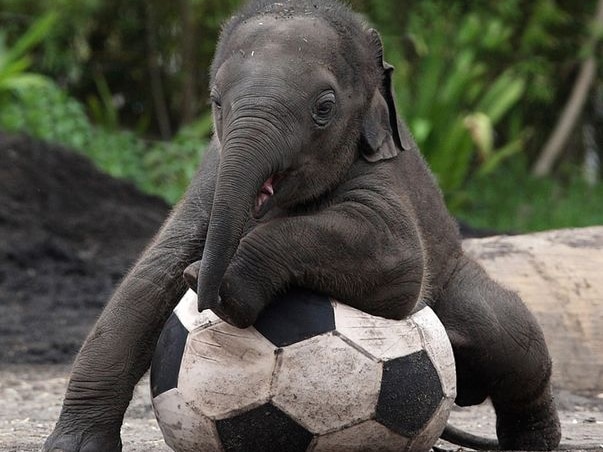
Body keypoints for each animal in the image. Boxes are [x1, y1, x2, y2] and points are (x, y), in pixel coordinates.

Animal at [42, 0, 560, 452]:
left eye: (324, 107)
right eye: (215, 101)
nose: (205, 294)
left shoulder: (382, 171)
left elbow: (400, 263)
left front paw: (219, 283)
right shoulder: (211, 172)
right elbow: (150, 278)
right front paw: (74, 446)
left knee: (506, 334)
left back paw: (535, 442)